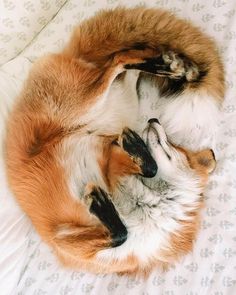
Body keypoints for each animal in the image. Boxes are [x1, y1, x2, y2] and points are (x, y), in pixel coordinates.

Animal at [5, 6, 223, 276]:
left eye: (174, 144)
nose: (153, 120)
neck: (151, 206)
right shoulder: (67, 240)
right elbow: (121, 232)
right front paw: (103, 198)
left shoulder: (108, 152)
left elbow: (125, 224)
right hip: (91, 104)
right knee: (116, 62)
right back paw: (166, 65)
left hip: (121, 106)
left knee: (123, 66)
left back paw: (169, 66)